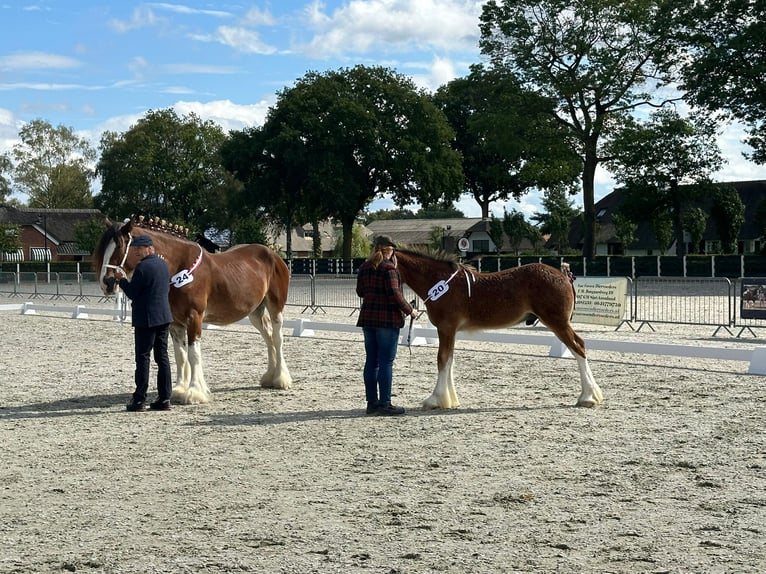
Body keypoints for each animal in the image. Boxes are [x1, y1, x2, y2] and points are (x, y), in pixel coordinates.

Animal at [94, 217, 292, 404]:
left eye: (120, 247)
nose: (107, 283)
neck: (178, 267)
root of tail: (273, 254)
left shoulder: (194, 317)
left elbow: (193, 354)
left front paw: (195, 392)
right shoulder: (175, 323)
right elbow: (180, 355)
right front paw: (179, 390)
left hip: (275, 306)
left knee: (277, 338)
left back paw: (281, 380)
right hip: (255, 312)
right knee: (268, 337)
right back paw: (269, 377)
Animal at [392, 248, 603, 409]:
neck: (440, 283)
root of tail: (564, 276)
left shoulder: (446, 329)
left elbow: (442, 360)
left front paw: (435, 400)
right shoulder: (450, 332)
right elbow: (449, 360)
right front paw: (450, 399)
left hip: (558, 323)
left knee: (578, 348)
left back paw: (588, 397)